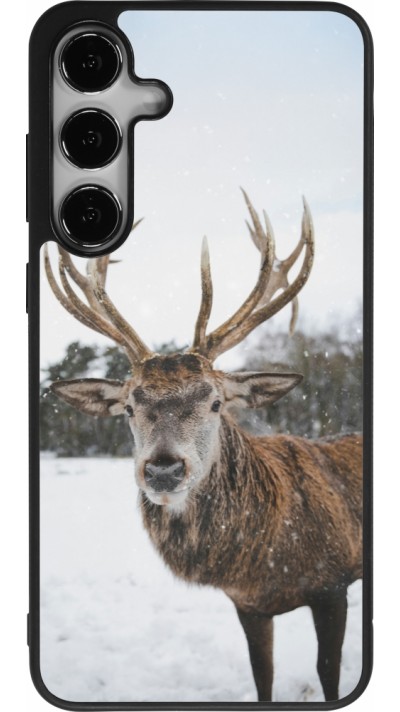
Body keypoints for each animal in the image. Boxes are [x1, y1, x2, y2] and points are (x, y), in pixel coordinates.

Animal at [44, 190, 362, 702]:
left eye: (215, 402)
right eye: (129, 407)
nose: (163, 470)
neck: (265, 560)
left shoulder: (333, 584)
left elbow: (328, 675)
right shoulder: (248, 605)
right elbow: (262, 676)